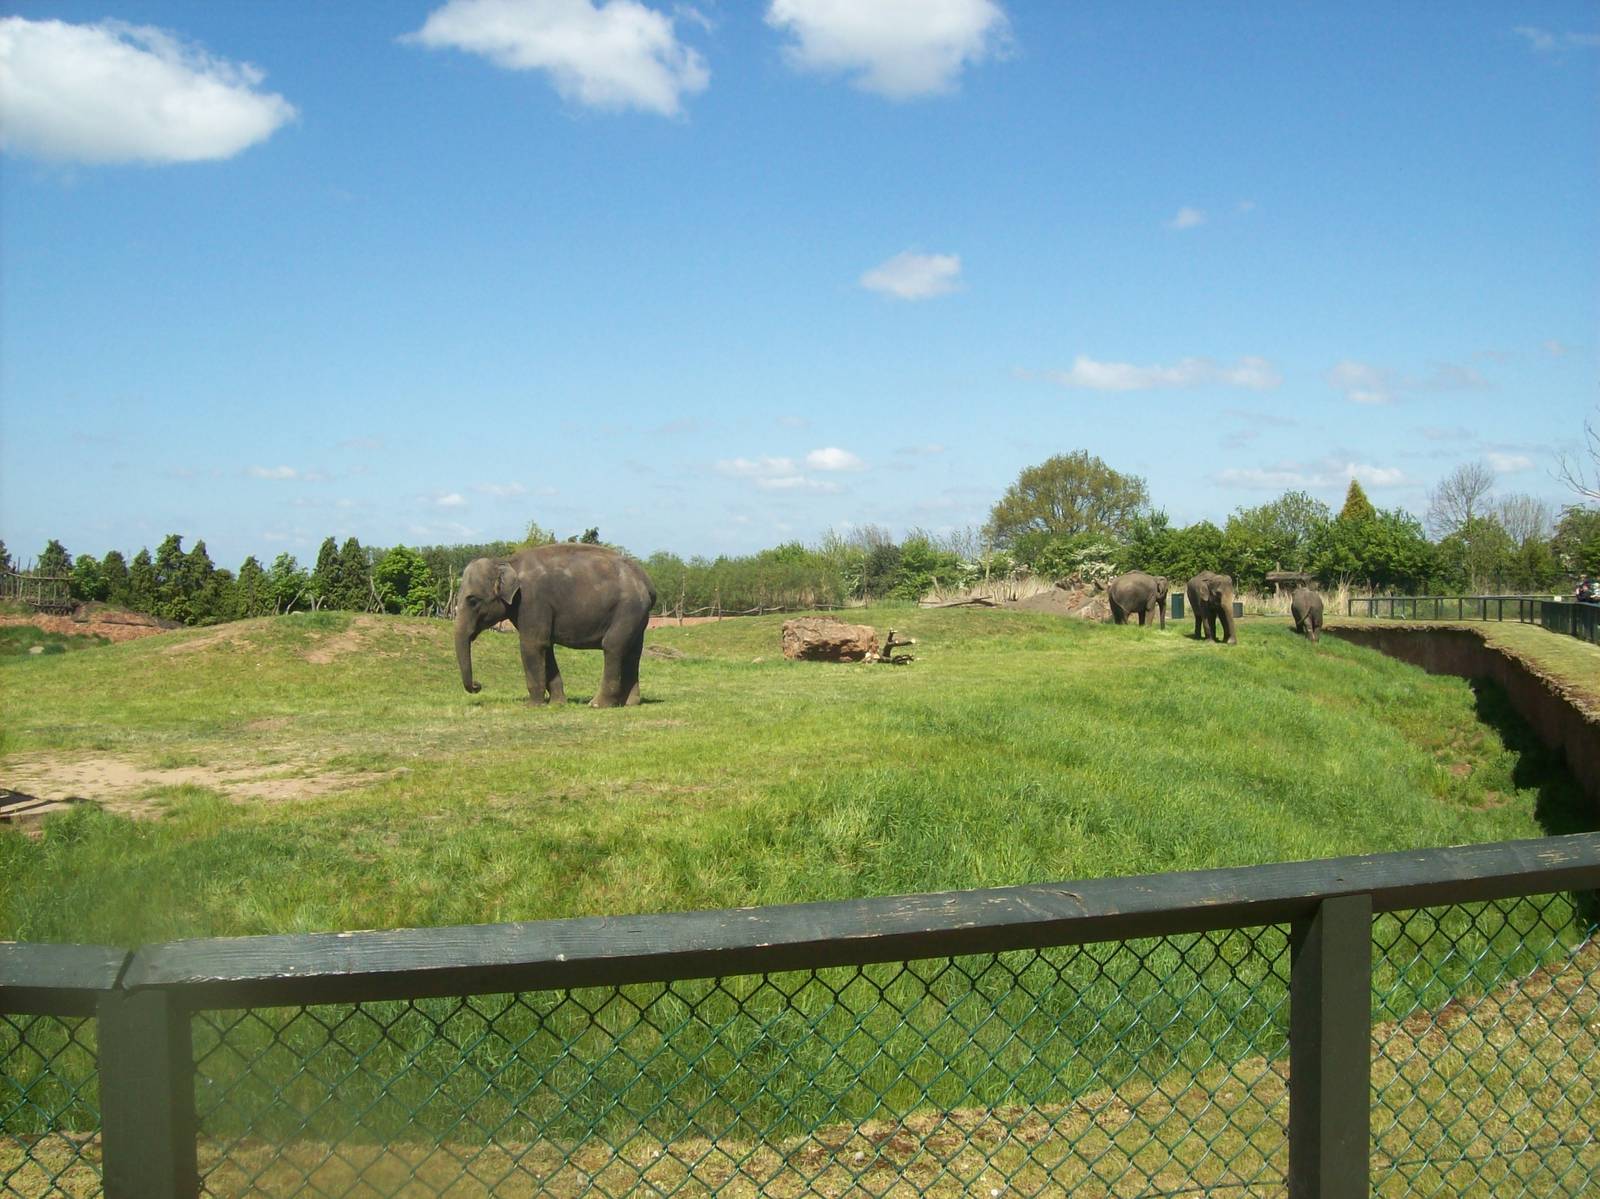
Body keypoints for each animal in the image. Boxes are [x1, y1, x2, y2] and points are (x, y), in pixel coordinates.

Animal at [454, 543, 656, 708]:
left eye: (472, 601)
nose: (477, 685)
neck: (506, 561)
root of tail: (647, 581)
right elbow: (546, 646)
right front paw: (557, 704)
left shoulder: (532, 600)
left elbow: (532, 645)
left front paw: (532, 706)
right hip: (637, 617)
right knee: (632, 652)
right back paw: (629, 703)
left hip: (627, 609)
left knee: (612, 647)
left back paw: (597, 704)